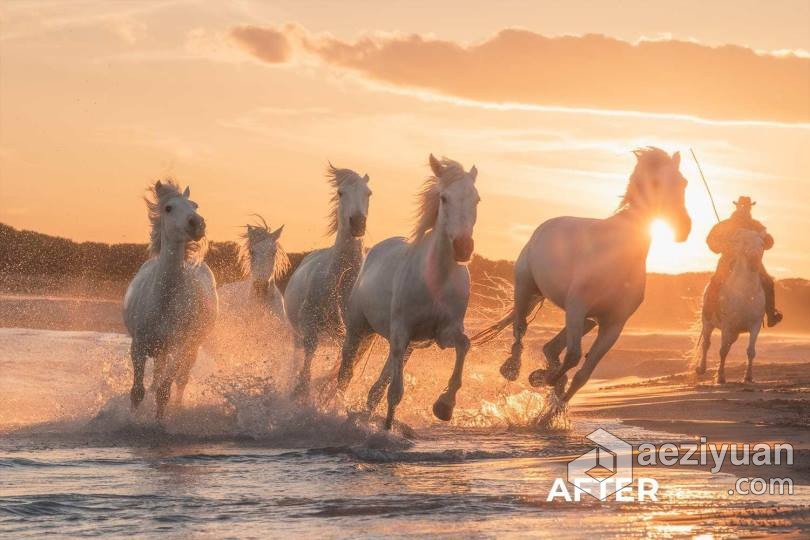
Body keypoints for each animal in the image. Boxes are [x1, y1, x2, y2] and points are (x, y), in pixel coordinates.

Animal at [123, 179, 218, 420]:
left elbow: (164, 391)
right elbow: (137, 392)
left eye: (194, 205)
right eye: (168, 208)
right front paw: (131, 420)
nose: (197, 224)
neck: (164, 301)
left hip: (189, 349)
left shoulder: (181, 348)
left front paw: (158, 422)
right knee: (157, 376)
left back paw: (177, 408)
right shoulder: (138, 346)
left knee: (180, 381)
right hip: (161, 350)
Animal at [282, 165, 370, 396]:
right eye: (340, 193)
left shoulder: (357, 337)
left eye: (369, 193)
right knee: (297, 357)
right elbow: (308, 361)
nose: (358, 224)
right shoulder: (310, 325)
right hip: (296, 332)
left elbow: (346, 373)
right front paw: (300, 393)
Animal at [336, 155, 476, 430]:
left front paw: (444, 406)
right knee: (346, 372)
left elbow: (464, 345)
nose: (463, 248)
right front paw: (387, 428)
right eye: (444, 198)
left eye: (476, 199)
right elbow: (395, 391)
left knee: (377, 386)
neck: (436, 280)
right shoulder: (402, 331)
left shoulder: (444, 332)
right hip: (359, 330)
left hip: (403, 344)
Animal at [474, 149, 688, 422]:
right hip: (526, 289)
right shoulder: (577, 306)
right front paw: (542, 379)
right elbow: (574, 356)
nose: (683, 228)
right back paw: (513, 368)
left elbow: (584, 373)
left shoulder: (614, 324)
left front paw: (549, 415)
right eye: (656, 183)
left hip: (587, 318)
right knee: (520, 328)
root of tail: (544, 227)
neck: (619, 255)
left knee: (555, 344)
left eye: (683, 183)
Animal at [696, 229, 764, 384]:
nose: (754, 261)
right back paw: (701, 369)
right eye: (744, 242)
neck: (745, 293)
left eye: (762, 245)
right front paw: (720, 377)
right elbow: (723, 350)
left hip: (735, 332)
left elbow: (751, 351)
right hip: (708, 323)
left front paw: (748, 377)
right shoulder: (727, 325)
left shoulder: (755, 326)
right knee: (706, 344)